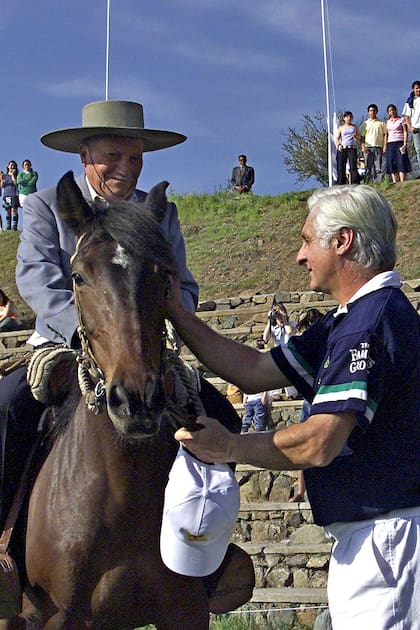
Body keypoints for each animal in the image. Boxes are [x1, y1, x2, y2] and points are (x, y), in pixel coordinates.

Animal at [3, 170, 254, 628]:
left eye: (164, 274)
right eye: (78, 276)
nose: (136, 400)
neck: (121, 493)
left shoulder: (186, 610)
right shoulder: (58, 617)